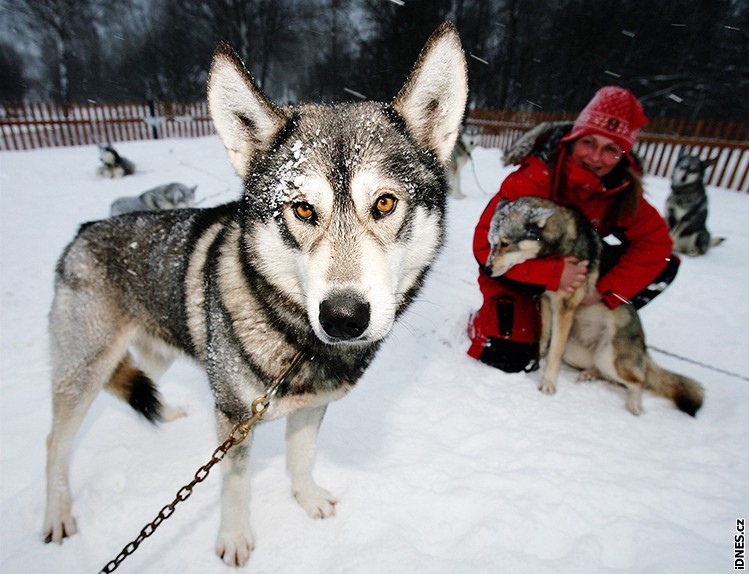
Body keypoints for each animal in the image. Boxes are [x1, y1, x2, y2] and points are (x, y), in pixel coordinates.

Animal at [42, 23, 468, 572]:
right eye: (303, 209)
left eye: (385, 203)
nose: (343, 317)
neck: (297, 346)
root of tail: (84, 230)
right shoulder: (234, 421)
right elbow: (235, 483)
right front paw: (235, 538)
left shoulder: (311, 407)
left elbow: (301, 458)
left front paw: (307, 500)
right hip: (83, 370)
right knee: (56, 441)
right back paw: (57, 513)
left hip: (155, 348)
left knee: (139, 379)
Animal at [486, 198, 700, 418]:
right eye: (491, 242)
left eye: (505, 243)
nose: (487, 269)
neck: (560, 245)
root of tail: (644, 349)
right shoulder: (546, 300)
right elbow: (544, 339)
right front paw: (536, 361)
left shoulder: (564, 308)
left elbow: (554, 353)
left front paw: (548, 383)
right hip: (579, 353)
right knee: (606, 373)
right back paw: (588, 375)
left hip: (608, 357)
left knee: (638, 381)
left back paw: (634, 404)